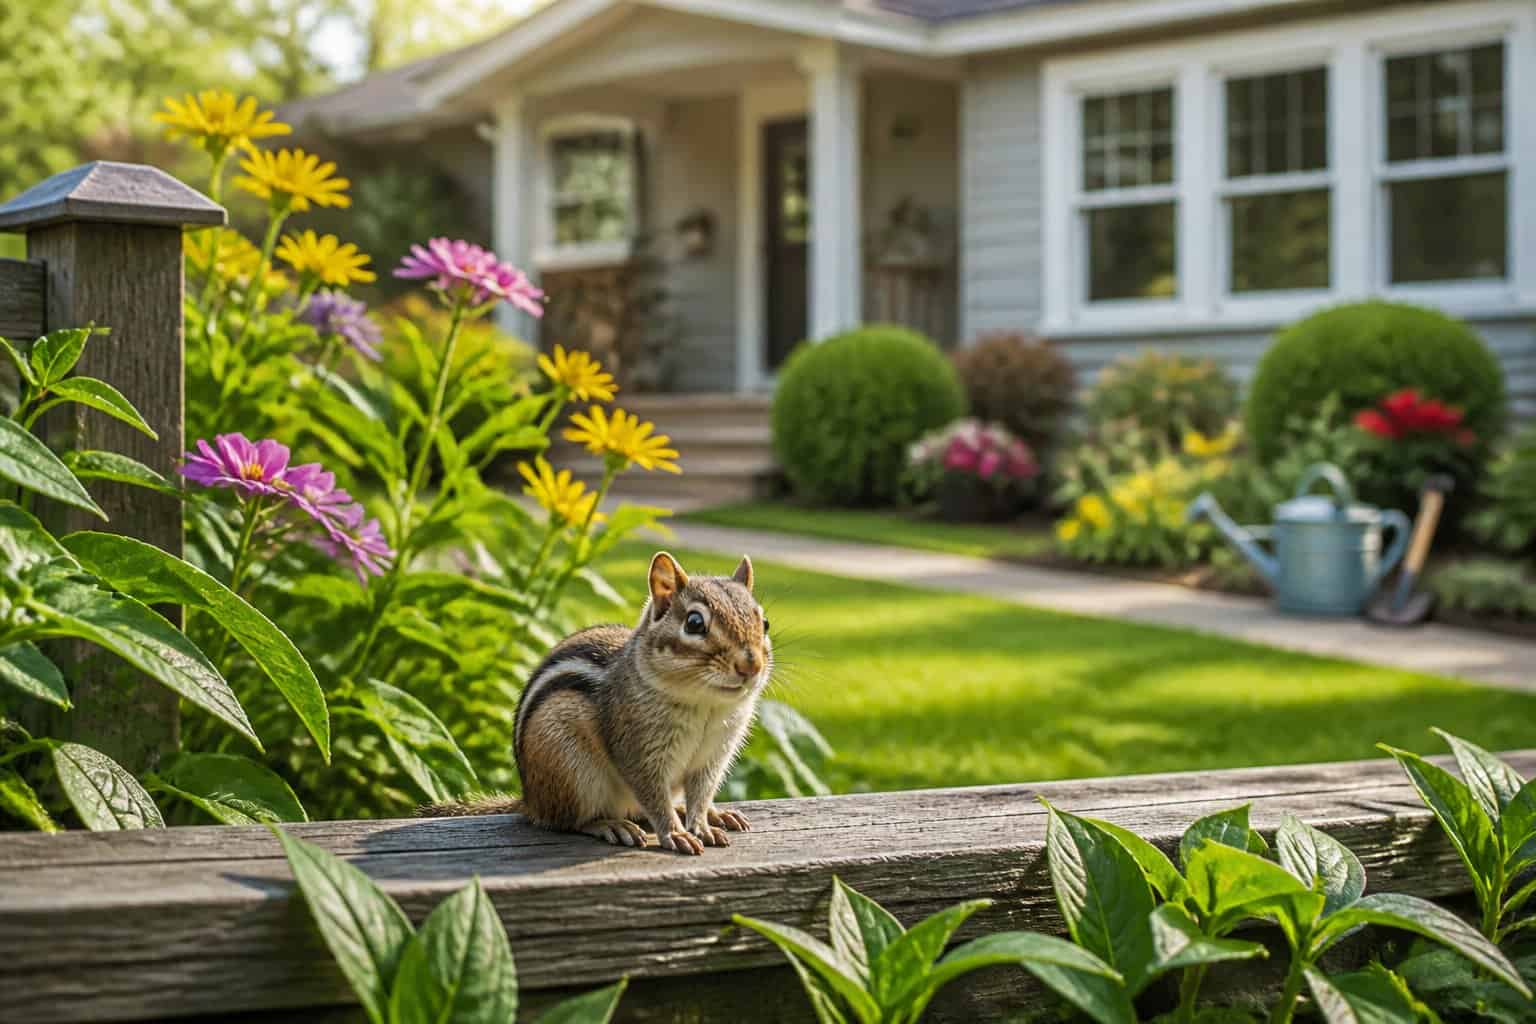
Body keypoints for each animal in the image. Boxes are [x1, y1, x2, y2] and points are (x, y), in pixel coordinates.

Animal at [421, 551, 770, 855]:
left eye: (764, 622)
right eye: (695, 623)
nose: (751, 665)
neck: (706, 704)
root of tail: (531, 800)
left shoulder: (713, 756)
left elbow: (701, 793)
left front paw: (701, 822)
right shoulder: (638, 751)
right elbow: (653, 797)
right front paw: (675, 833)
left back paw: (709, 813)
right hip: (572, 771)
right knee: (568, 821)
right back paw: (610, 825)